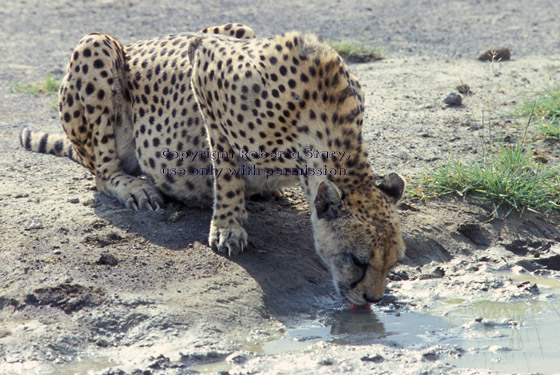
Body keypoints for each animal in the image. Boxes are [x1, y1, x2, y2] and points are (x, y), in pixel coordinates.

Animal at [20, 22, 406, 306]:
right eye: (358, 260)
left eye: (392, 262)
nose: (373, 299)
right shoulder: (205, 74)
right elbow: (226, 169)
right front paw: (227, 226)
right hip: (96, 47)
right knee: (102, 173)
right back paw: (134, 187)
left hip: (241, 28)